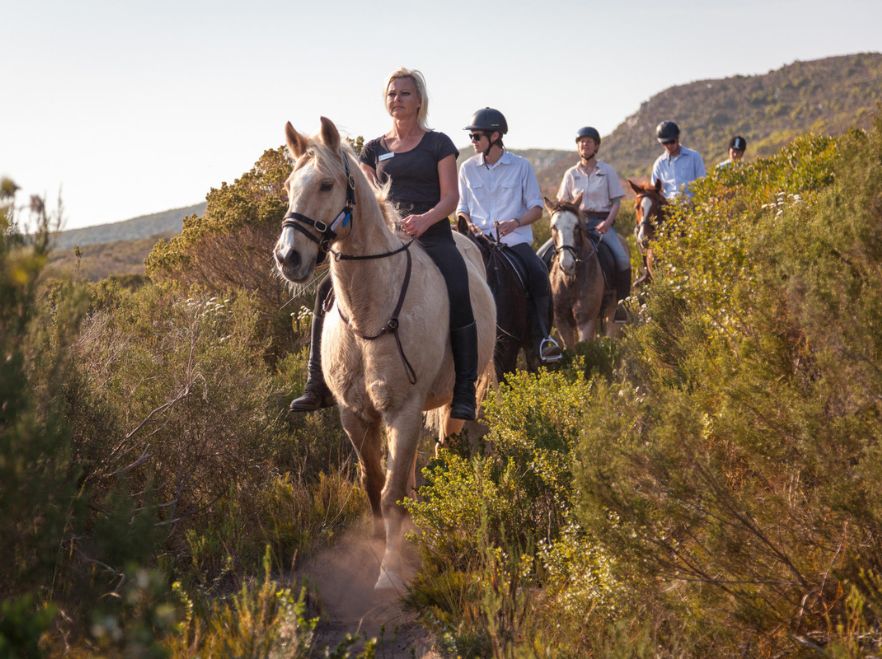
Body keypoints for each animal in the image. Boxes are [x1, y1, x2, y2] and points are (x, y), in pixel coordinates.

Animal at [273, 118, 496, 591]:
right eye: (288, 186)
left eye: (326, 185)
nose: (288, 258)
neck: (368, 314)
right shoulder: (354, 414)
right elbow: (374, 483)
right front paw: (379, 543)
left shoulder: (404, 411)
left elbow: (392, 494)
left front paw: (391, 571)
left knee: (455, 438)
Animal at [545, 194, 620, 346]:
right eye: (554, 227)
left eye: (577, 226)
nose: (567, 264)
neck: (570, 281)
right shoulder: (562, 322)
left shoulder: (586, 321)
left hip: (612, 310)